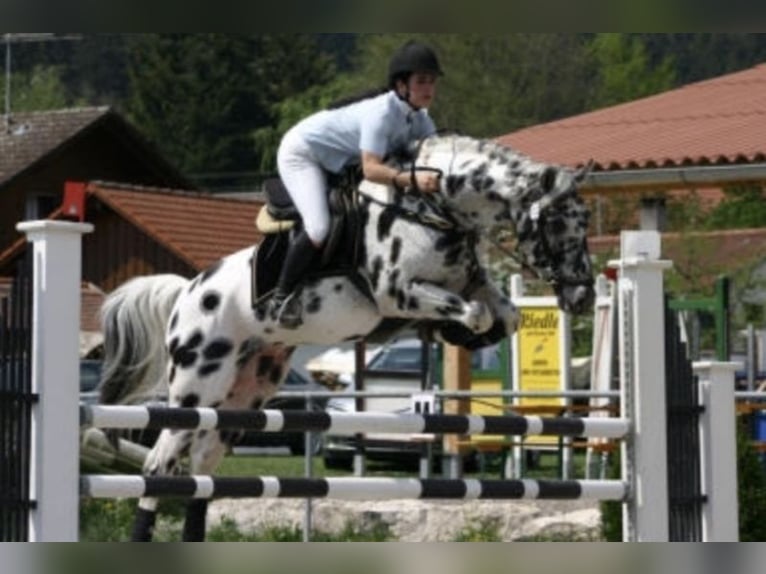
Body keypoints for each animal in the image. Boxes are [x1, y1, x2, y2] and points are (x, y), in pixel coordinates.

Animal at [97, 134, 600, 540]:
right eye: (558, 224)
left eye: (585, 222)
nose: (582, 296)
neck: (434, 208)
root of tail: (186, 291)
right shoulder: (399, 292)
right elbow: (474, 314)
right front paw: (460, 328)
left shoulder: (466, 284)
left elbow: (506, 315)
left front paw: (462, 332)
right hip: (197, 386)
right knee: (159, 465)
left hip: (246, 391)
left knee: (202, 468)